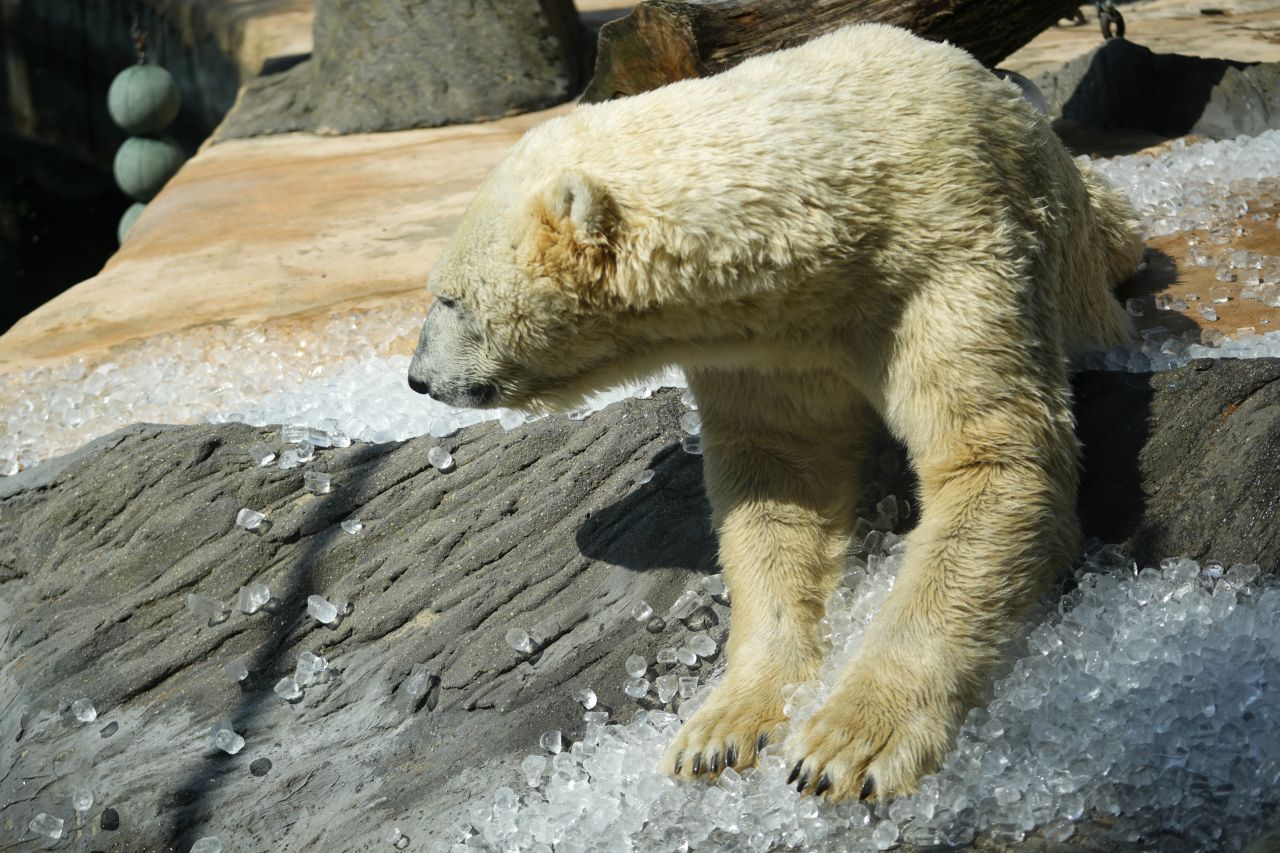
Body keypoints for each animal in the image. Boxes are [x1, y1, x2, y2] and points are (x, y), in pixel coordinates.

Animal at [407, 23, 1141, 799]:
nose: (417, 379)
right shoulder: (768, 346)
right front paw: (721, 731)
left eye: (448, 298)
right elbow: (778, 486)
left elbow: (993, 458)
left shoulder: (949, 251)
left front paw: (849, 746)